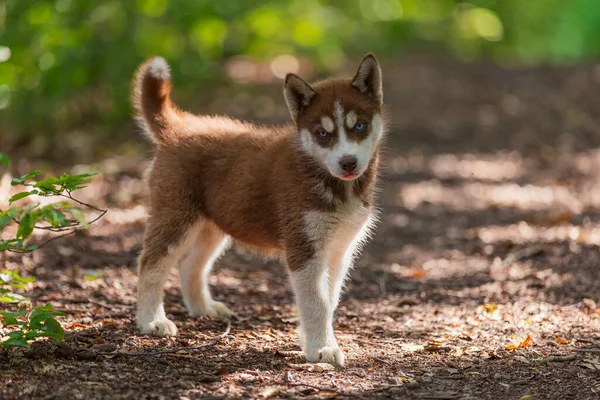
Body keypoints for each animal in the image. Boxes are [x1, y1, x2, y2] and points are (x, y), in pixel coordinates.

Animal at [131, 53, 384, 366]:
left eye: (359, 126)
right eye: (323, 133)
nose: (347, 162)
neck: (334, 185)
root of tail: (179, 128)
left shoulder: (340, 249)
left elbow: (330, 298)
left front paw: (309, 339)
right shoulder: (303, 247)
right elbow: (316, 302)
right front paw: (322, 348)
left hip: (214, 225)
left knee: (191, 264)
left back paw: (202, 308)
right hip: (176, 218)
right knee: (150, 264)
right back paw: (151, 320)